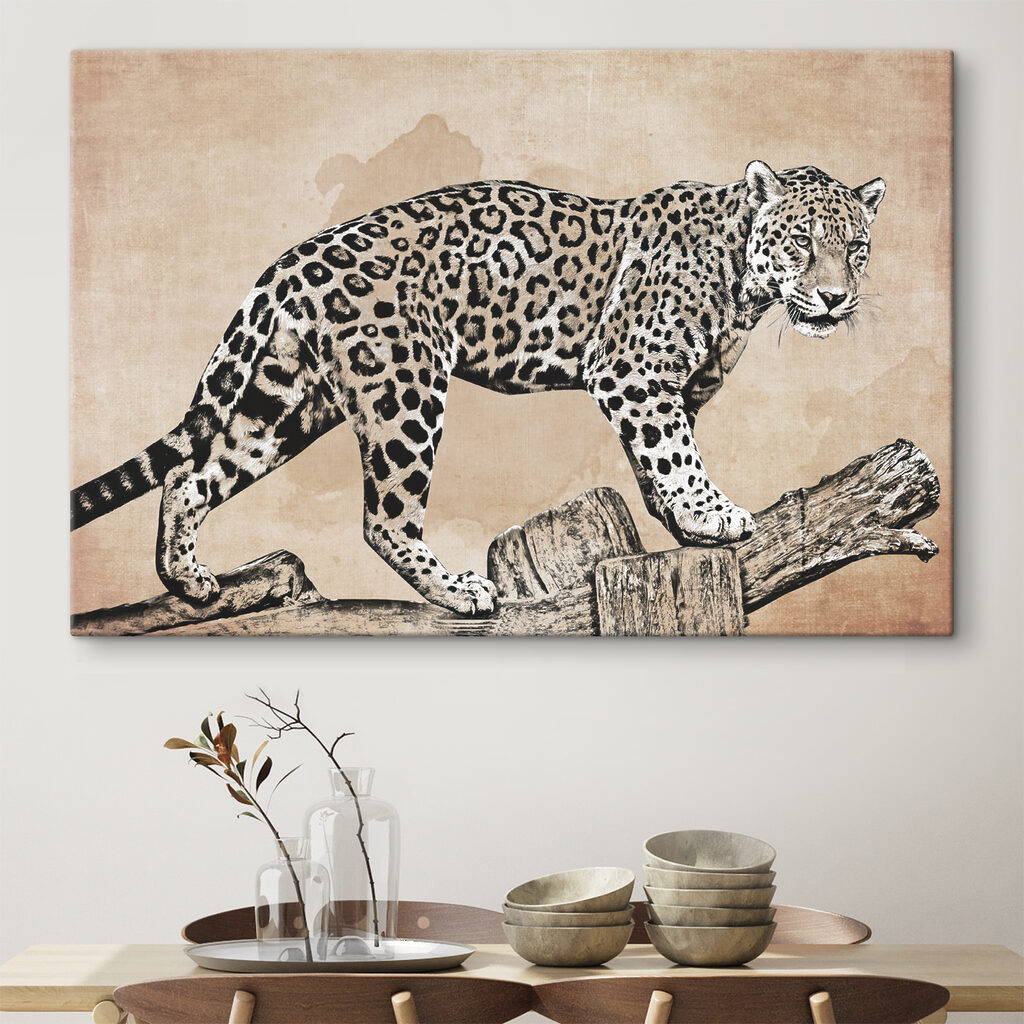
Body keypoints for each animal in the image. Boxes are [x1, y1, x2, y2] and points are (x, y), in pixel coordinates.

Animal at [71, 160, 885, 616]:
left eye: (856, 248)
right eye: (801, 242)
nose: (836, 299)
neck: (744, 281)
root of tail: (292, 262)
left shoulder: (666, 389)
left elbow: (656, 459)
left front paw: (685, 526)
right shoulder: (633, 372)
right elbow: (675, 454)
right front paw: (711, 515)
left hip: (287, 402)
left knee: (190, 474)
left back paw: (189, 580)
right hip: (404, 390)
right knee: (384, 519)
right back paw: (460, 591)